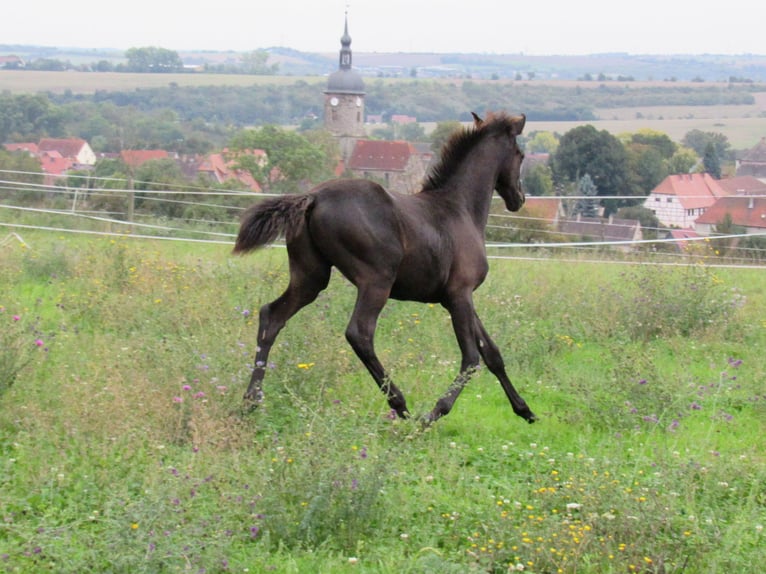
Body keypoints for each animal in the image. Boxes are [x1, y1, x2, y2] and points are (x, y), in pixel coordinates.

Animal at [233, 111, 537, 425]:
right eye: (521, 154)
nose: (519, 198)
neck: (459, 208)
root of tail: (313, 198)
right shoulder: (460, 294)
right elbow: (471, 358)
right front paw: (433, 414)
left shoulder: (455, 297)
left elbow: (492, 354)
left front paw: (525, 411)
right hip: (376, 280)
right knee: (359, 333)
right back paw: (401, 406)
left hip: (310, 277)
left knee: (272, 316)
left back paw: (251, 401)